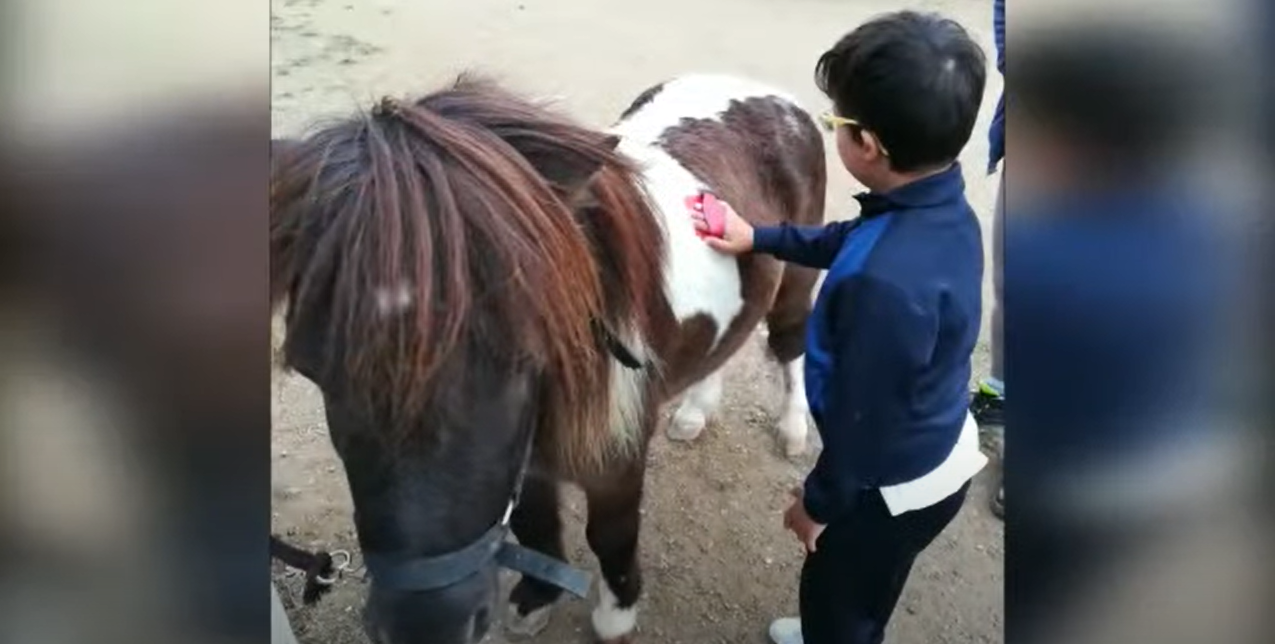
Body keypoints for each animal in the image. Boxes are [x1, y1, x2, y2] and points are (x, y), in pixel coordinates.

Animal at [271, 71, 826, 642]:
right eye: (313, 369)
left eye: (521, 356)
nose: (426, 626)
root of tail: (767, 93)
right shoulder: (526, 462)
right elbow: (534, 524)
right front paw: (536, 597)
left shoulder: (617, 455)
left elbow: (610, 534)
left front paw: (615, 614)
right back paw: (695, 414)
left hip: (796, 280)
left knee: (789, 346)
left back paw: (792, 429)